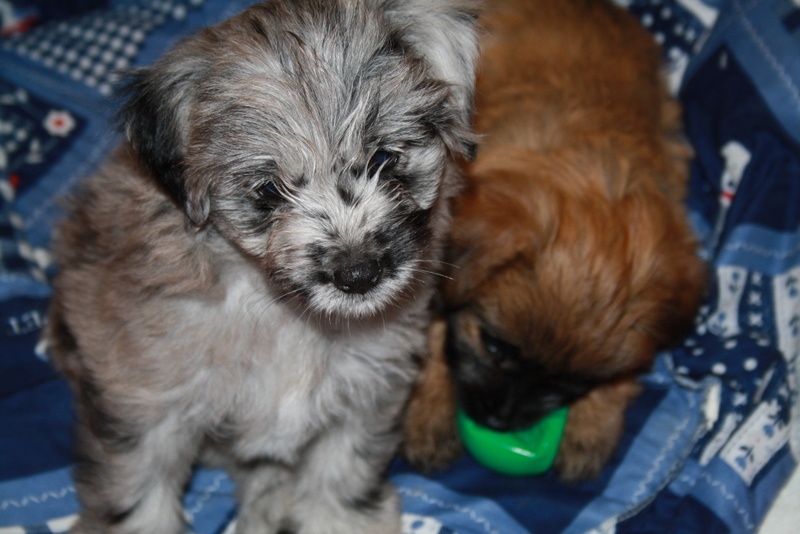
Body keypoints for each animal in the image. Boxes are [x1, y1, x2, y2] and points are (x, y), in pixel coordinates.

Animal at [45, 1, 479, 532]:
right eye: (269, 190)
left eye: (383, 158)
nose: (359, 274)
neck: (279, 310)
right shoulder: (145, 399)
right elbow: (140, 490)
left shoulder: (365, 388)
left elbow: (341, 468)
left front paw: (339, 519)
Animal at [403, 0, 706, 481]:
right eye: (493, 345)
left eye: (573, 383)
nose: (498, 420)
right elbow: (432, 338)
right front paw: (429, 418)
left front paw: (593, 426)